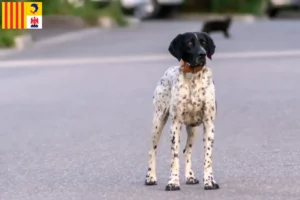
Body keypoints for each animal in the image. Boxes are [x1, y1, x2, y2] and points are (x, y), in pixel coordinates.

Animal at [144, 31, 219, 191]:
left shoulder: (209, 125)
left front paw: (209, 181)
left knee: (187, 151)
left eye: (203, 42)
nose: (202, 54)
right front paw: (173, 182)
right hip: (158, 122)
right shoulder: (175, 125)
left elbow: (208, 158)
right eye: (189, 43)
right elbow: (174, 158)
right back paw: (150, 177)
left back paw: (190, 177)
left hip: (193, 129)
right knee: (152, 150)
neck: (193, 77)